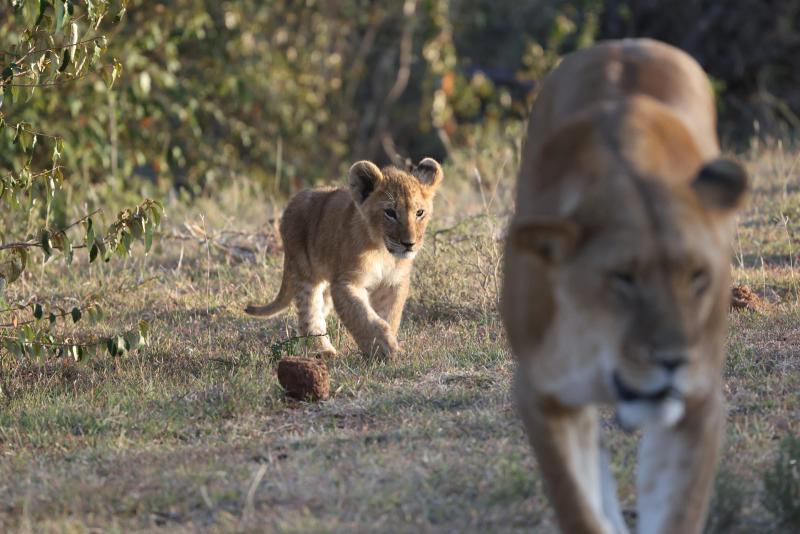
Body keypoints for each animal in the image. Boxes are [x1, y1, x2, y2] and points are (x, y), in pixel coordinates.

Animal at [245, 158, 443, 359]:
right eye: (390, 212)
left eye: (419, 213)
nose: (409, 244)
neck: (382, 251)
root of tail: (293, 201)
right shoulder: (345, 282)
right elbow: (362, 316)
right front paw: (383, 348)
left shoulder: (393, 282)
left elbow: (389, 315)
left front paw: (388, 347)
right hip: (304, 271)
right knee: (309, 314)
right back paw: (322, 350)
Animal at [500, 38, 748, 533]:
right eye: (623, 278)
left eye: (697, 275)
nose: (674, 361)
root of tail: (627, 43)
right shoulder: (541, 393)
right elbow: (578, 506)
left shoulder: (699, 404)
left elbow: (679, 513)